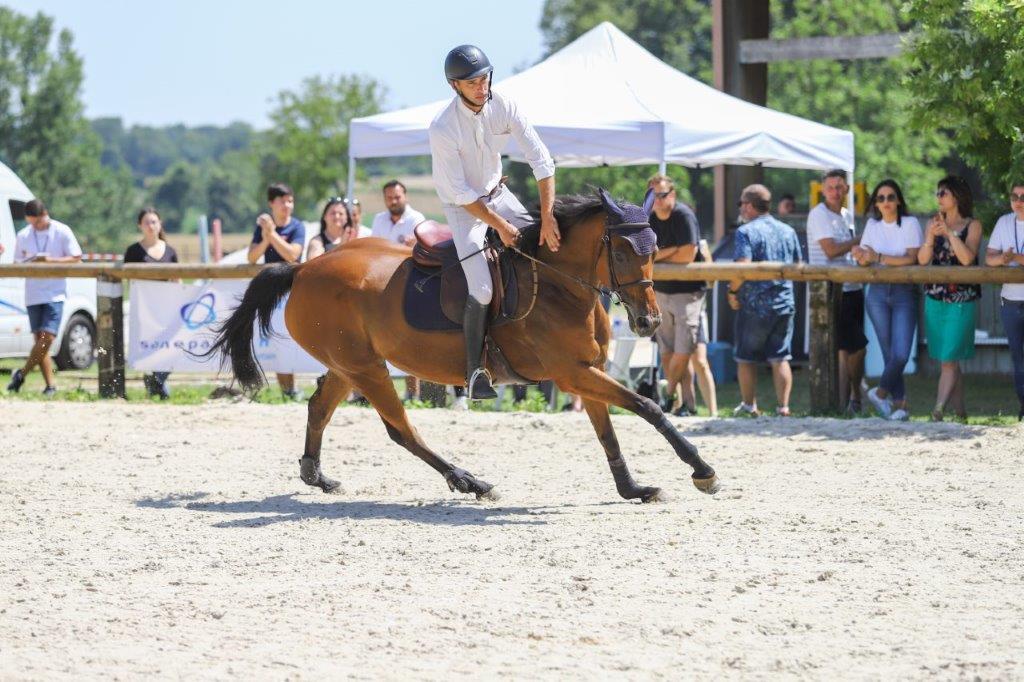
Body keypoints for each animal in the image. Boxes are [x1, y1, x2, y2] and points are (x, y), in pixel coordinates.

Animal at [209, 190, 720, 503]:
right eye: (623, 251)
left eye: (655, 248)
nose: (650, 320)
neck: (558, 285)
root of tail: (304, 268)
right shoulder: (572, 372)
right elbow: (647, 407)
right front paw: (701, 470)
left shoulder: (584, 370)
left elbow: (607, 432)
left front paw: (632, 489)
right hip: (367, 370)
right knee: (402, 430)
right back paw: (468, 480)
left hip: (350, 364)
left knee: (318, 408)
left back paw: (317, 475)